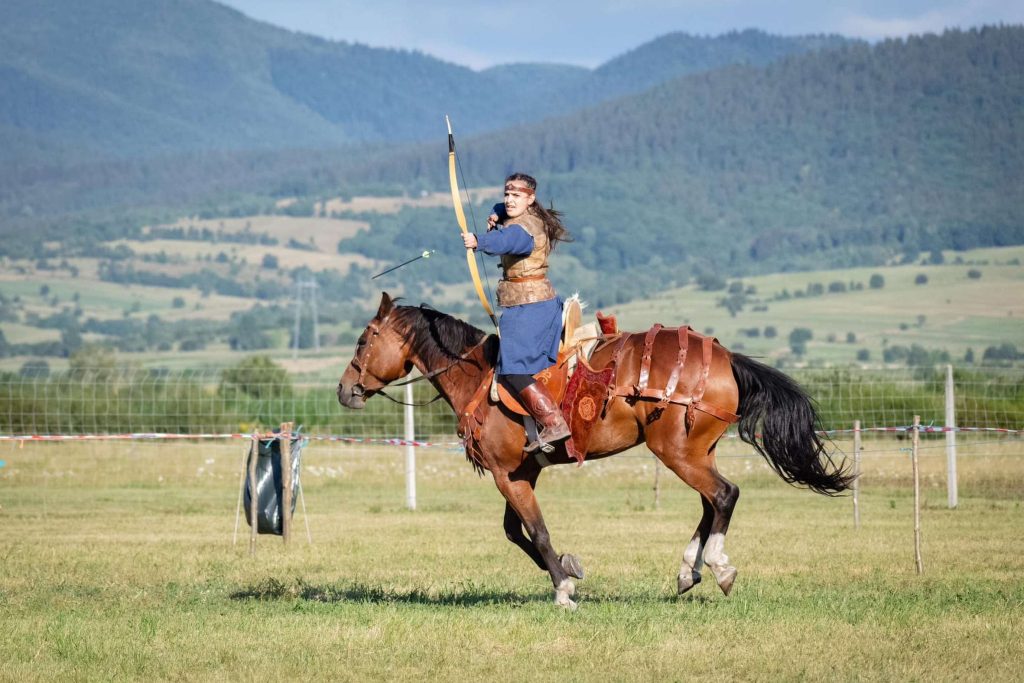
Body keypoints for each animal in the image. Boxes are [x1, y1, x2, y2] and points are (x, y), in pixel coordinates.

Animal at [335, 292, 847, 610]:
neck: (479, 377)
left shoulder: (507, 475)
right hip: (696, 451)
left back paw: (718, 568)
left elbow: (536, 531)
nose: (344, 389)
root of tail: (726, 358)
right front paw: (569, 567)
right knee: (711, 502)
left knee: (724, 495)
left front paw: (563, 588)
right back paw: (688, 571)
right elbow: (516, 533)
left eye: (363, 340)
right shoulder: (522, 474)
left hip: (678, 453)